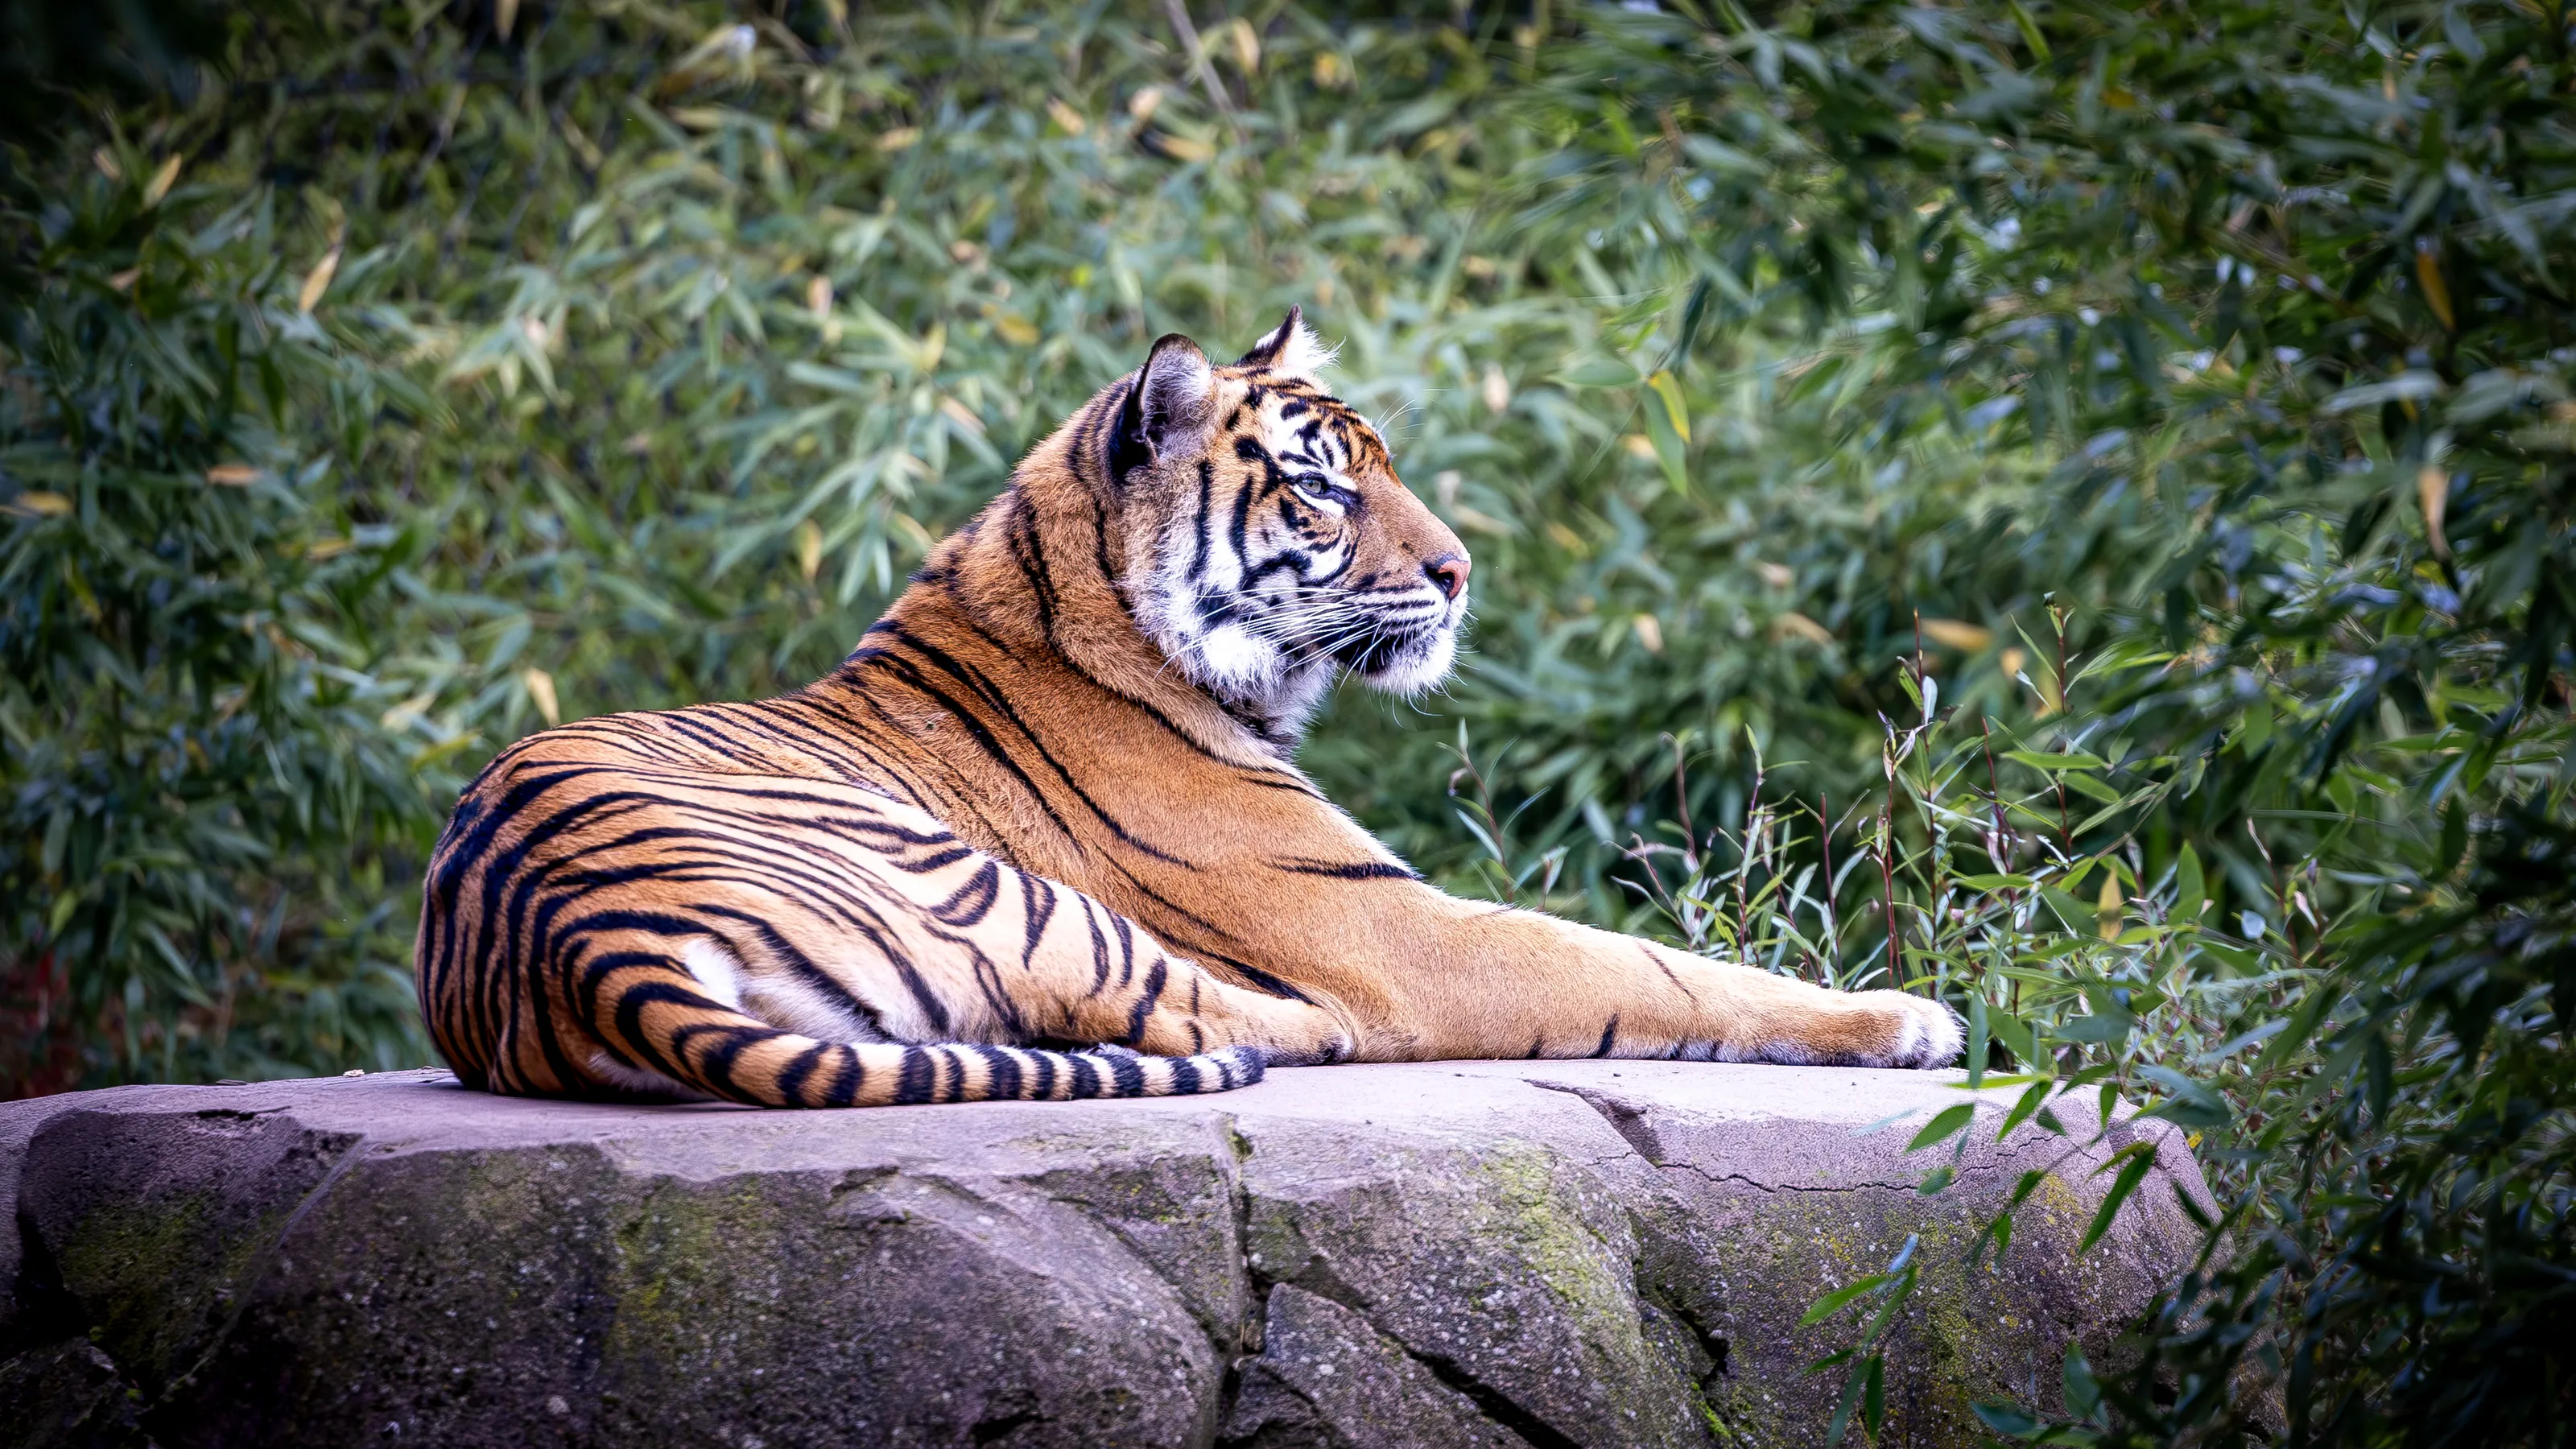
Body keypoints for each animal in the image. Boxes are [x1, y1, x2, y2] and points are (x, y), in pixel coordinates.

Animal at [414, 307, 1962, 1108]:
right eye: (1326, 486)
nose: (1461, 571)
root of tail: (575, 947)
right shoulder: (1392, 932)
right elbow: (1655, 969)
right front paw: (1905, 1020)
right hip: (998, 889)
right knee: (1202, 1016)